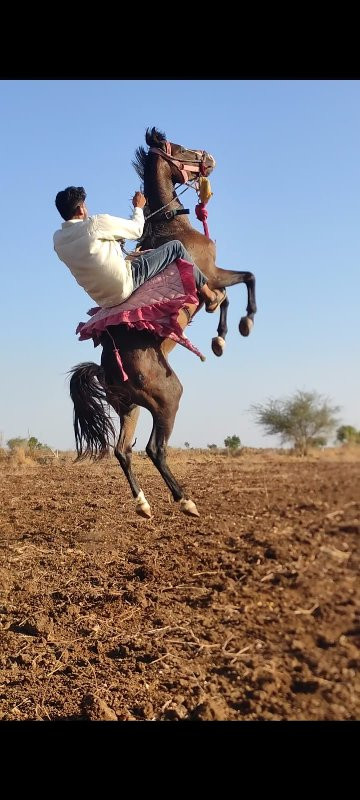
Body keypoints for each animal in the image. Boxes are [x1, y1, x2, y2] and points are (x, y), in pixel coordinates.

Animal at [69, 126, 258, 520]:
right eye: (181, 148)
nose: (209, 158)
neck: (172, 226)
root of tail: (107, 370)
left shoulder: (213, 277)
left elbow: (234, 290)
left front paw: (221, 338)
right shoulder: (211, 274)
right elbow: (242, 282)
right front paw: (238, 327)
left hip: (129, 408)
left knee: (123, 450)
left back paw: (143, 504)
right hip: (167, 400)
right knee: (154, 449)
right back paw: (185, 499)